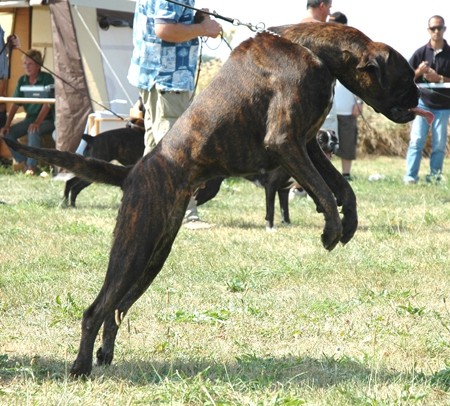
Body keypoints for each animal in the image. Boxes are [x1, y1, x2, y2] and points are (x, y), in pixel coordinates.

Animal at [2, 23, 426, 378]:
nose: (421, 95)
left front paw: (347, 221)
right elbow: (322, 188)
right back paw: (80, 366)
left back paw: (105, 356)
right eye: (407, 77)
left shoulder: (307, 143)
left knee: (116, 308)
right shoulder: (286, 141)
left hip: (152, 257)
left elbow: (340, 187)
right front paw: (331, 229)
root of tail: (136, 172)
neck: (315, 51)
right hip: (133, 249)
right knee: (96, 309)